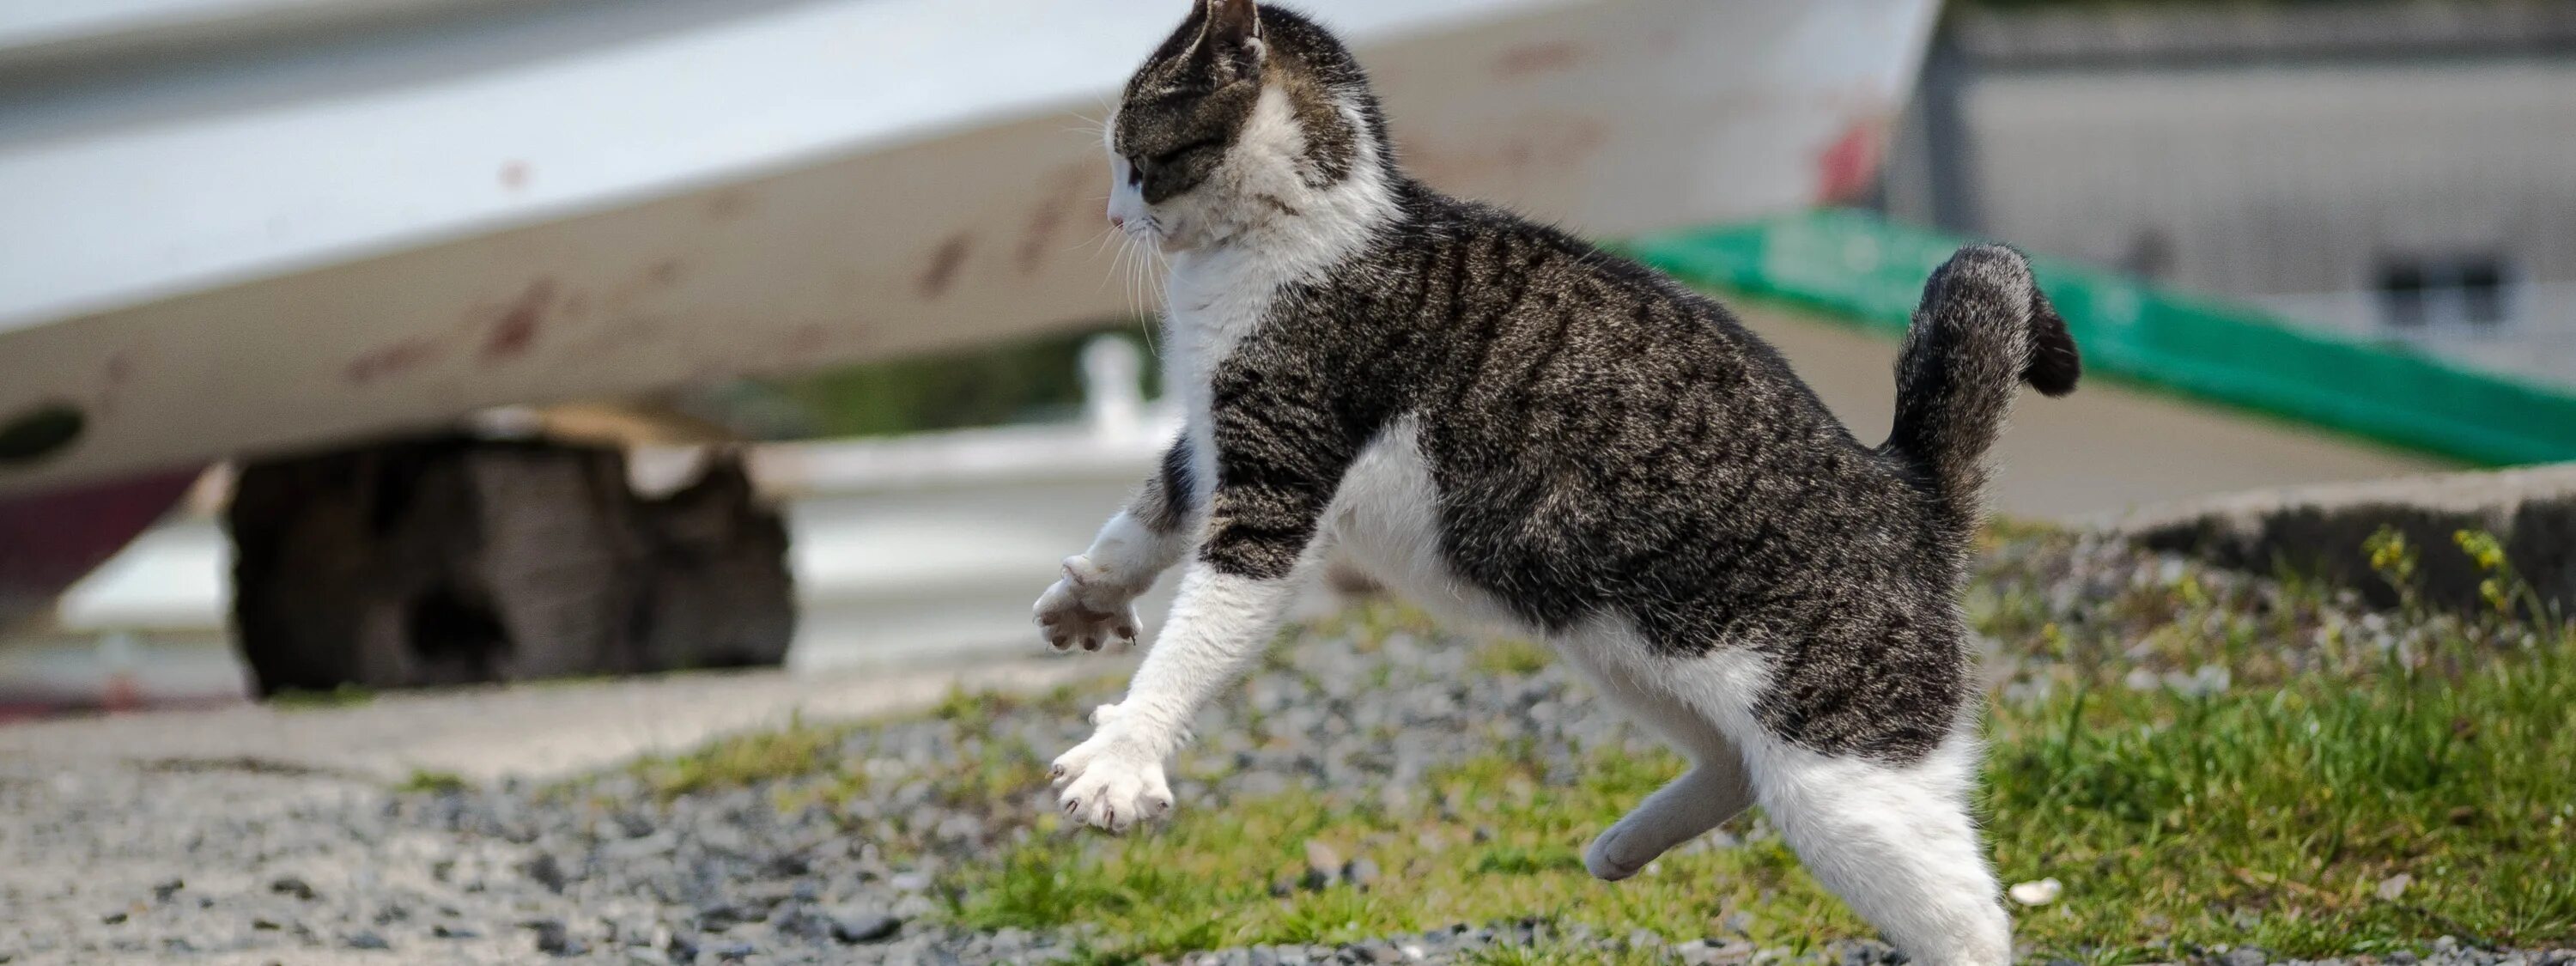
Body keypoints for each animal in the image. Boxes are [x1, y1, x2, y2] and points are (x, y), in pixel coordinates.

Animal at [1025, 3, 2071, 963]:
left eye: (1133, 158)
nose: (1113, 215)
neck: (1317, 226)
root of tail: (1911, 492)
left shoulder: (1277, 475)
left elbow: (1200, 633)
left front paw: (1125, 753)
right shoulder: (1212, 442)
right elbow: (1152, 509)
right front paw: (1089, 593)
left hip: (1848, 778)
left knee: (1970, 921)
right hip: (1628, 653)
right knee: (1736, 765)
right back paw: (1622, 846)